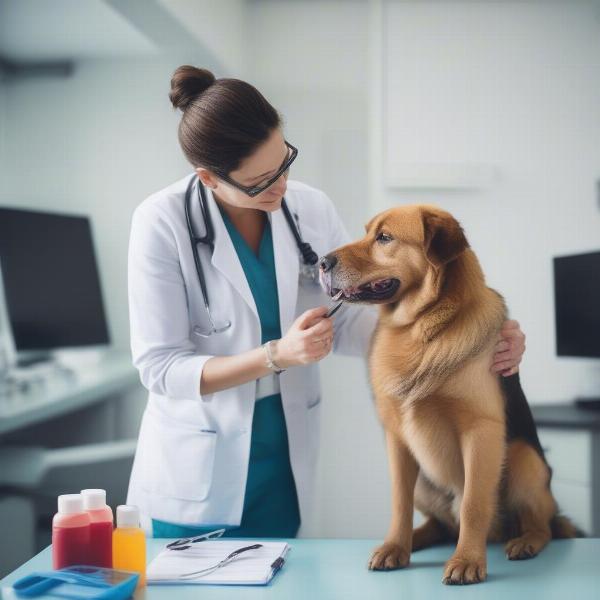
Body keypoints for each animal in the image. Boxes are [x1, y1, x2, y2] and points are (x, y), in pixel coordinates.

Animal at [318, 204, 576, 584]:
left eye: (384, 237)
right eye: (367, 233)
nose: (321, 262)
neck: (421, 328)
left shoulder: (480, 432)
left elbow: (473, 504)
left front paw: (467, 559)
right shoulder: (397, 440)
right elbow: (400, 502)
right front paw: (395, 546)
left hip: (522, 458)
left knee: (539, 523)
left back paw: (526, 541)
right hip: (425, 480)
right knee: (440, 524)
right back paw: (417, 538)